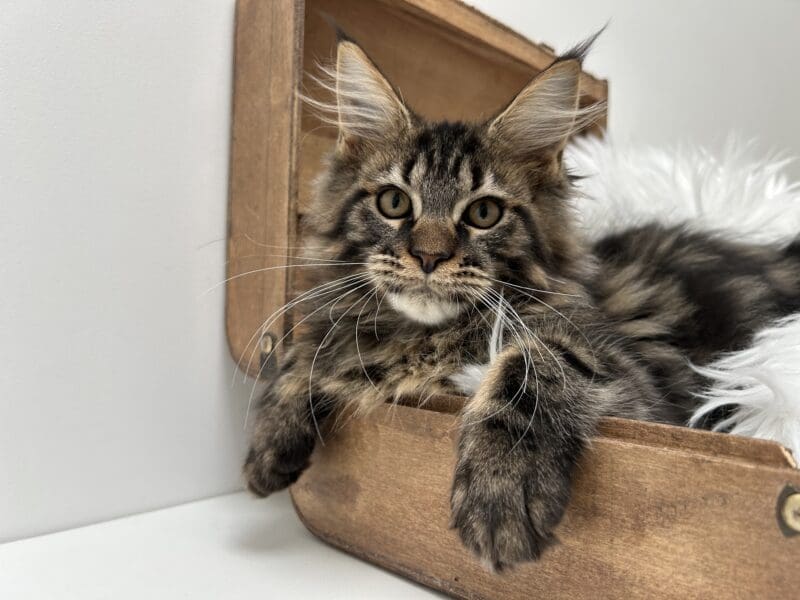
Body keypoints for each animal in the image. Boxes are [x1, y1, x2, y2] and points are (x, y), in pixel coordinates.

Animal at [244, 35, 800, 568]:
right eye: (394, 203)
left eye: (484, 213)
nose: (428, 256)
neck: (422, 340)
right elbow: (307, 350)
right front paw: (266, 445)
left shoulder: (631, 380)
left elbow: (530, 365)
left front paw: (500, 490)